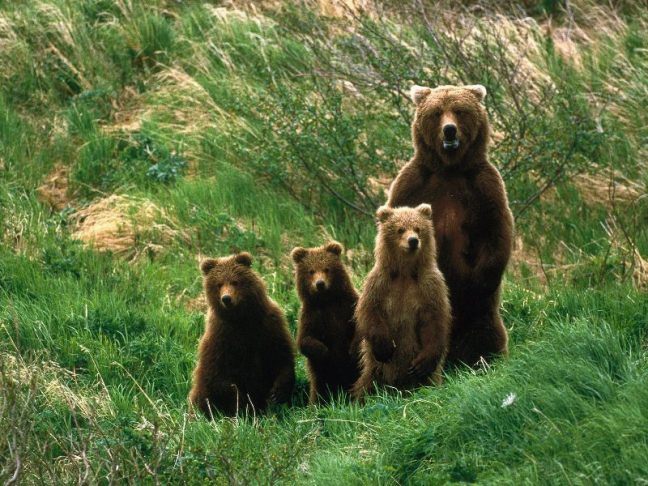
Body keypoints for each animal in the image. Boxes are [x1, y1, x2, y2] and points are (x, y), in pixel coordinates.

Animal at [188, 252, 295, 417]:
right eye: (219, 284)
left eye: (235, 281)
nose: (226, 298)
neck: (241, 318)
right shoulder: (221, 336)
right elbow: (220, 375)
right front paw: (244, 404)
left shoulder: (269, 325)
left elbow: (281, 354)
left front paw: (278, 392)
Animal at [291, 241, 360, 404]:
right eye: (311, 271)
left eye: (327, 268)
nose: (320, 283)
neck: (327, 300)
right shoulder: (311, 316)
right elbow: (304, 340)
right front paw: (324, 351)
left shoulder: (347, 307)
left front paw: (352, 349)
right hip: (321, 378)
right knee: (319, 390)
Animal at [352, 204, 451, 400]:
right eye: (400, 229)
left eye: (418, 228)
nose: (413, 241)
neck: (405, 272)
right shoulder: (380, 283)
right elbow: (370, 311)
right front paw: (385, 347)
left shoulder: (429, 286)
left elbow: (434, 319)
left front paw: (421, 364)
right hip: (375, 370)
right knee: (366, 384)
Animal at [387, 84, 514, 367]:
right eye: (436, 112)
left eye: (459, 110)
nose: (449, 130)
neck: (450, 168)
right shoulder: (413, 184)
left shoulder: (483, 186)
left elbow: (496, 230)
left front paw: (480, 281)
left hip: (481, 316)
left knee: (485, 332)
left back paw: (483, 359)